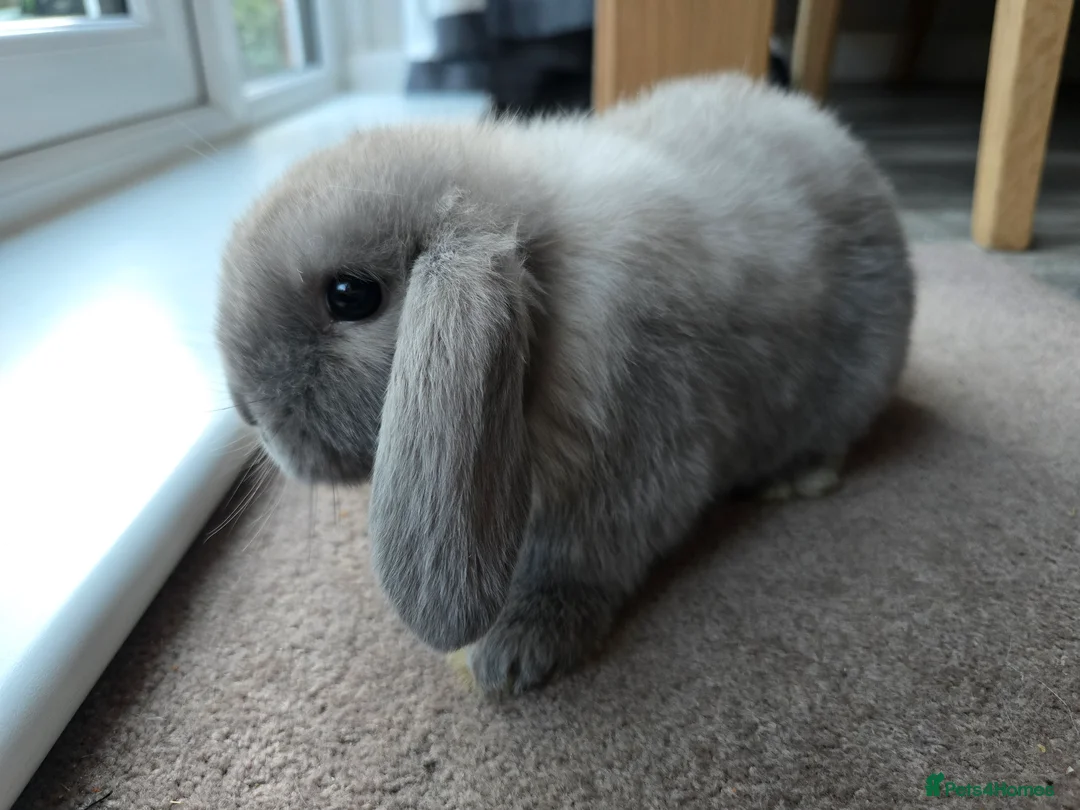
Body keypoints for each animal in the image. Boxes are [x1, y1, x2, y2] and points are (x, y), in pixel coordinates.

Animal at [216, 71, 915, 695]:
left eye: (350, 295)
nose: (248, 413)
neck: (543, 284)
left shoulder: (633, 460)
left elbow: (574, 565)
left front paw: (509, 655)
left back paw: (796, 478)